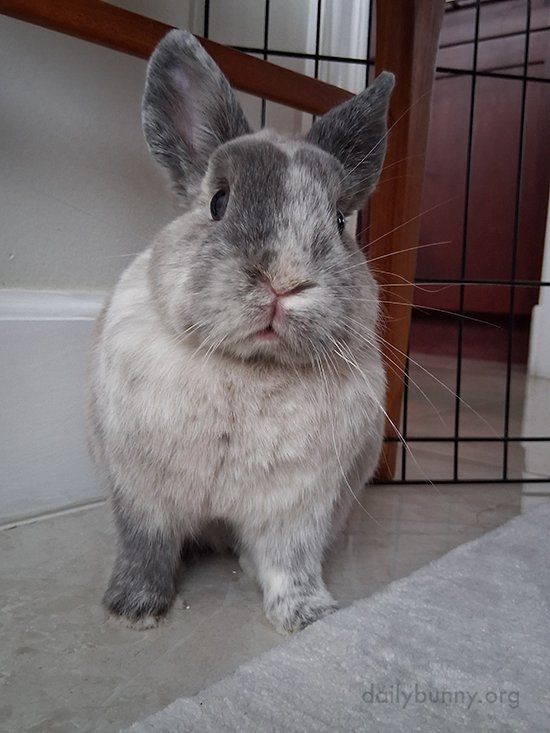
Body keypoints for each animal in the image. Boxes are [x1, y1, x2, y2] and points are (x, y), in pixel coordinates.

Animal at [87, 29, 394, 634]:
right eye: (218, 201)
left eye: (340, 221)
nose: (285, 280)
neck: (249, 368)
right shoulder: (142, 495)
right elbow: (145, 548)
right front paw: (134, 610)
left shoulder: (298, 507)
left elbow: (289, 564)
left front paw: (307, 617)